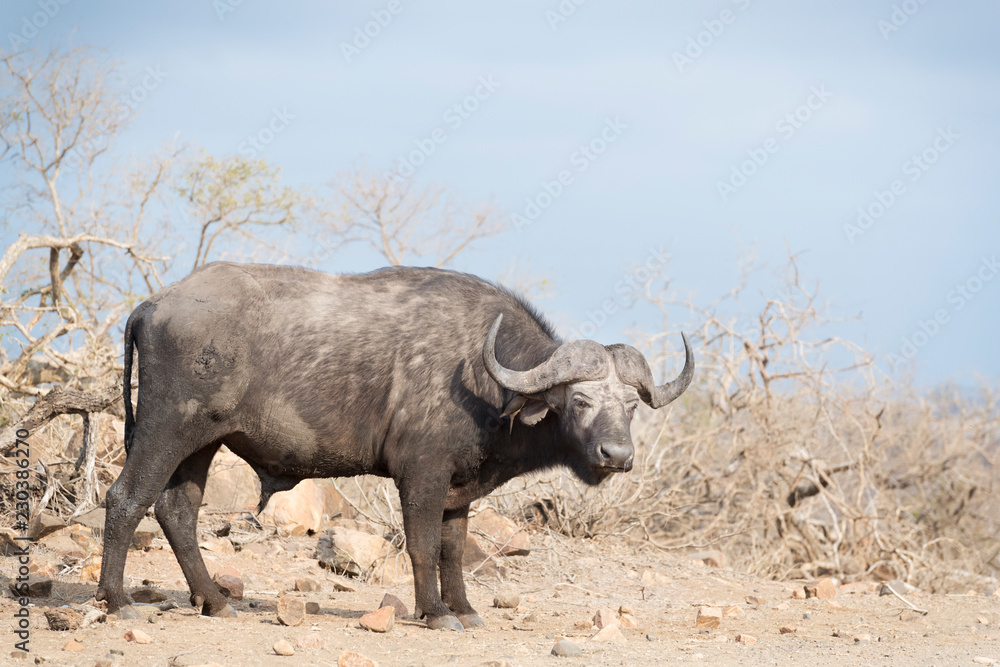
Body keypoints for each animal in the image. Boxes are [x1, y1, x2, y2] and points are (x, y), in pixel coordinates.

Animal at [96, 262, 693, 630]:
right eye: (580, 401)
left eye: (631, 405)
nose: (617, 456)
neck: (482, 375)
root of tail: (154, 303)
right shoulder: (421, 475)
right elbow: (423, 546)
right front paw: (436, 613)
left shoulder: (459, 489)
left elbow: (453, 550)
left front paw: (464, 608)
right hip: (166, 431)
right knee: (126, 499)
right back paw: (118, 601)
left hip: (202, 444)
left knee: (177, 511)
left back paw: (215, 601)